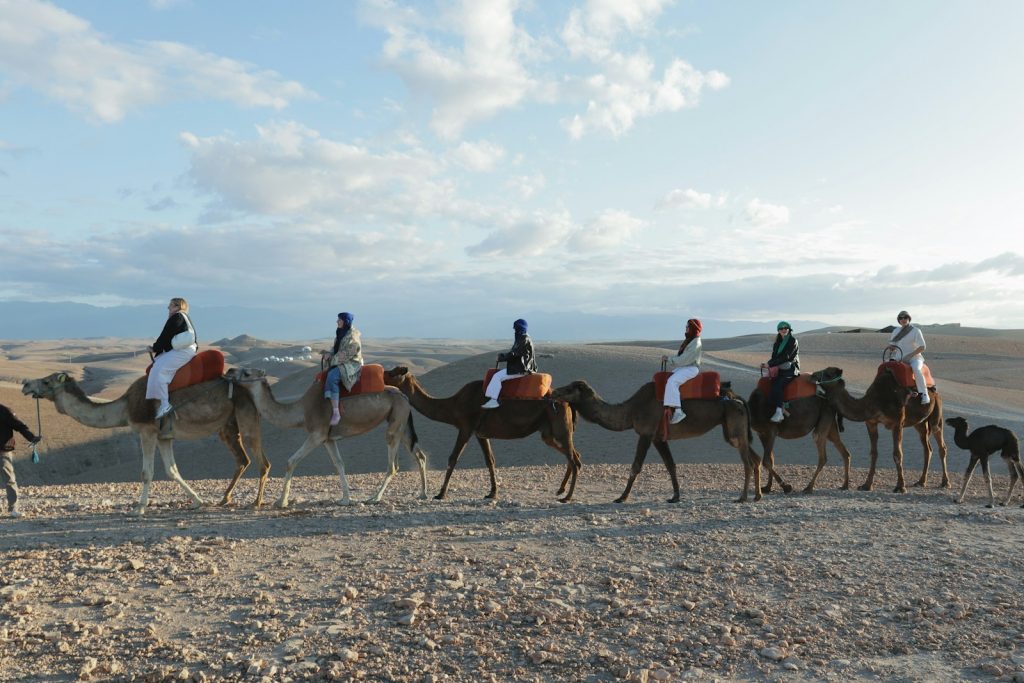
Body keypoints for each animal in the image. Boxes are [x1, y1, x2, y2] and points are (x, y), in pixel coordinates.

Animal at [21, 372, 269, 516]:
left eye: (46, 380)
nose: (25, 383)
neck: (125, 407)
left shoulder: (147, 431)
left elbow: (147, 472)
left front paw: (139, 508)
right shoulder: (164, 436)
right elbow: (172, 470)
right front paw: (196, 501)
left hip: (245, 414)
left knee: (260, 461)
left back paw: (255, 502)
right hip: (228, 425)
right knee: (242, 459)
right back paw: (225, 499)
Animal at [223, 367, 428, 508]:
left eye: (247, 373)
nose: (229, 370)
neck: (301, 410)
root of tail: (403, 396)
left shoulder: (317, 433)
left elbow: (291, 461)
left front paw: (281, 501)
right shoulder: (328, 439)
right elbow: (339, 464)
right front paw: (345, 499)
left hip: (395, 422)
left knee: (393, 465)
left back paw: (375, 497)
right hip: (401, 422)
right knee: (419, 455)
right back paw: (423, 494)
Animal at [382, 366, 582, 502]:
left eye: (394, 372)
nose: (383, 372)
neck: (452, 405)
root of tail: (568, 402)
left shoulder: (465, 427)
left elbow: (453, 458)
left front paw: (440, 493)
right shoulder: (480, 433)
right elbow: (490, 460)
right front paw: (492, 493)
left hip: (560, 427)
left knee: (573, 459)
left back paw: (568, 496)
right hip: (549, 432)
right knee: (574, 455)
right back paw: (561, 490)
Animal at [548, 380, 762, 503]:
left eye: (569, 388)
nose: (552, 393)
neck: (630, 410)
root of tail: (737, 397)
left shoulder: (646, 433)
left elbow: (635, 466)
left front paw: (622, 497)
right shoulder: (659, 438)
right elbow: (670, 465)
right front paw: (675, 496)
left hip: (734, 424)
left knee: (748, 462)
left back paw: (742, 497)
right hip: (732, 429)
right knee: (756, 458)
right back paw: (757, 495)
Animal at [810, 366, 948, 493]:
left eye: (828, 373)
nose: (812, 375)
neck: (874, 401)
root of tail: (934, 391)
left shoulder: (897, 423)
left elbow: (897, 454)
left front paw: (900, 487)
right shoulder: (871, 422)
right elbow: (873, 453)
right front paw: (866, 485)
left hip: (937, 415)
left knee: (941, 445)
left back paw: (945, 483)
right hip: (920, 424)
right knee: (927, 448)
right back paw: (921, 481)